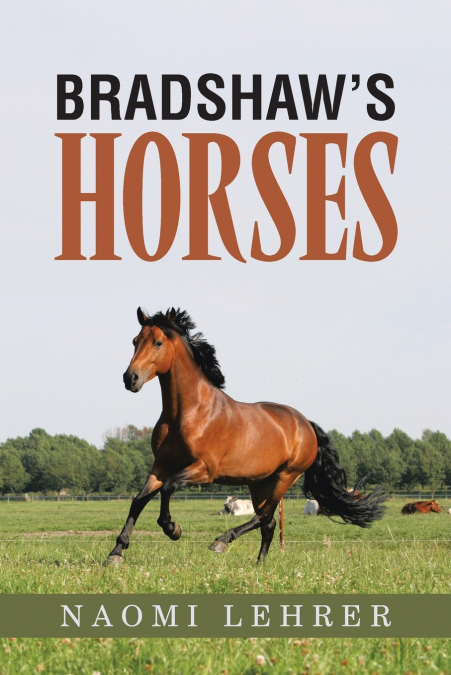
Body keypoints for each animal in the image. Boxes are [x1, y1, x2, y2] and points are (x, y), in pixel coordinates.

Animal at [105, 307, 386, 565]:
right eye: (135, 341)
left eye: (158, 342)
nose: (130, 378)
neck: (188, 413)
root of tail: (306, 424)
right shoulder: (161, 465)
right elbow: (138, 501)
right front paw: (116, 553)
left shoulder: (204, 470)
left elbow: (169, 487)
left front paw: (173, 529)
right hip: (259, 482)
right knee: (269, 523)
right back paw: (259, 565)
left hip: (285, 476)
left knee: (263, 517)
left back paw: (221, 542)